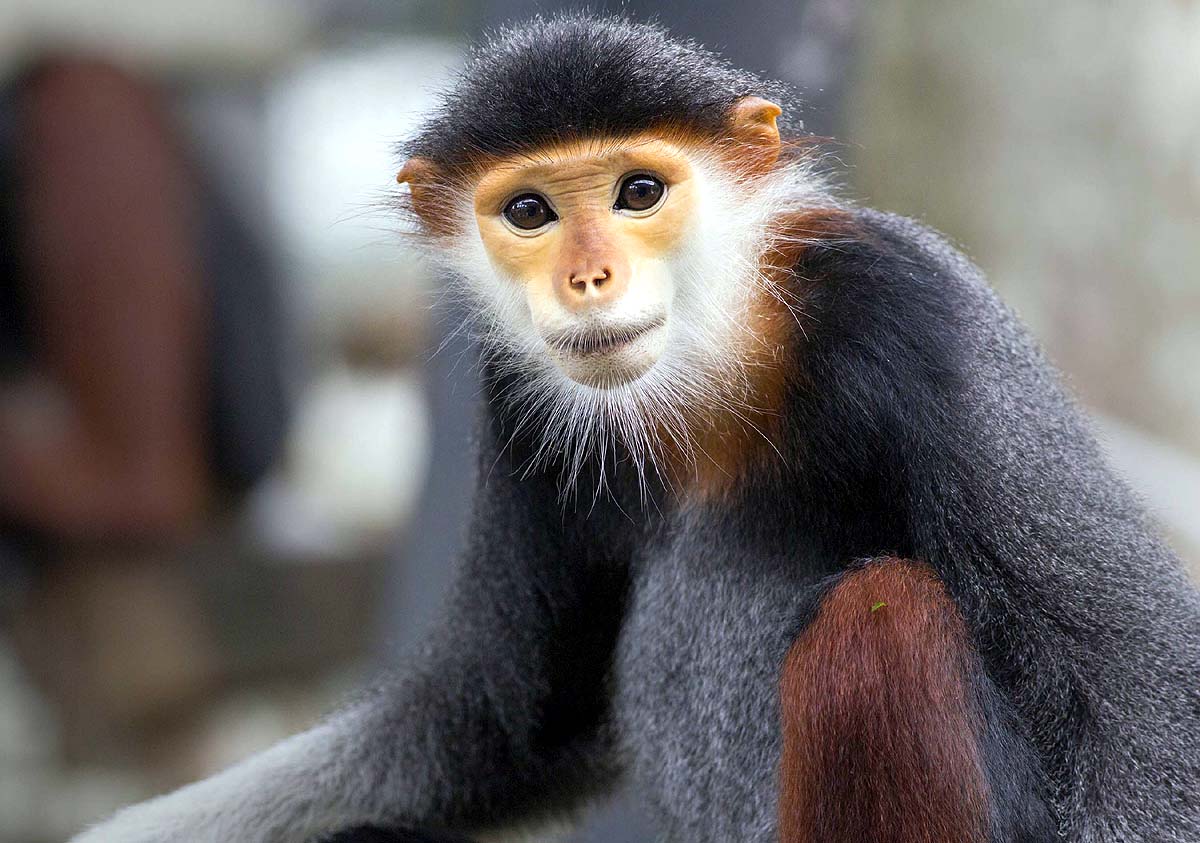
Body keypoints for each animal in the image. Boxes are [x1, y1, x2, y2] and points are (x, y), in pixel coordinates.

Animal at [69, 14, 1200, 843]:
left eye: (639, 191)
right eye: (530, 212)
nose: (590, 278)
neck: (721, 362)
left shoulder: (906, 302)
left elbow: (1135, 700)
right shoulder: (516, 394)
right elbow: (498, 728)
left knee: (884, 616)